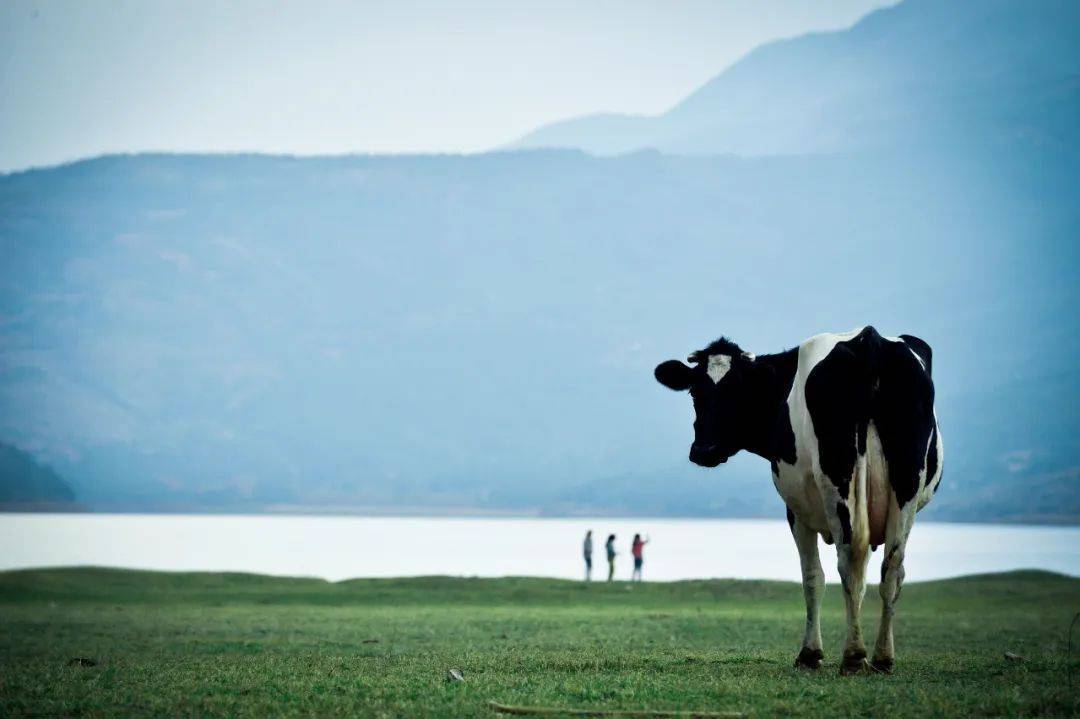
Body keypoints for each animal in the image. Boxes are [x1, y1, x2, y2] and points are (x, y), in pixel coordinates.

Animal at [652, 323, 941, 673]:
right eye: (695, 392)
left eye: (738, 391)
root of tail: (869, 339)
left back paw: (853, 655)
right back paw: (883, 657)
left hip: (837, 476)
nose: (704, 450)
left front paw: (810, 653)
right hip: (906, 480)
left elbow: (812, 577)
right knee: (891, 568)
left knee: (848, 559)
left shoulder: (796, 510)